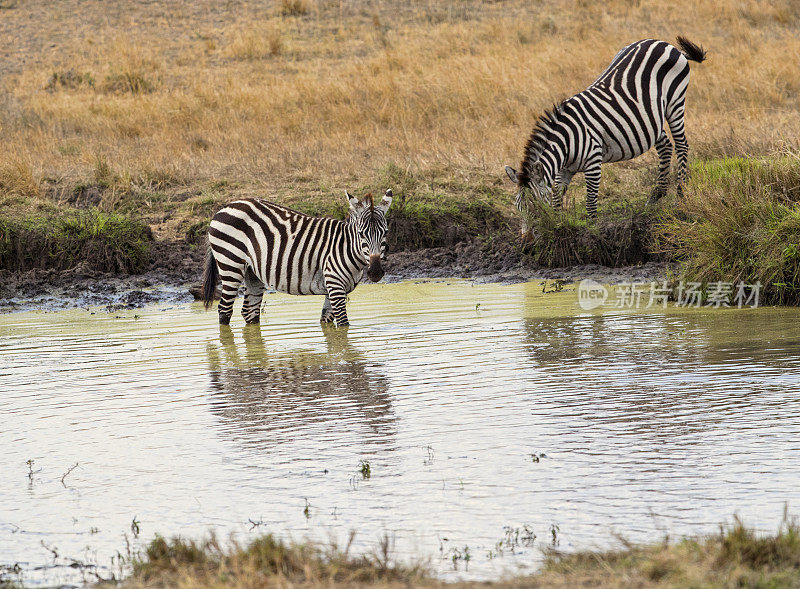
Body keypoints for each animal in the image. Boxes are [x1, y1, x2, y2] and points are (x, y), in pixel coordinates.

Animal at [203, 189, 394, 324]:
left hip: (251, 272)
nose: (375, 273)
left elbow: (327, 323)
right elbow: (344, 325)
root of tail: (225, 207)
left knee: (249, 311)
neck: (346, 248)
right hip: (230, 264)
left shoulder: (335, 290)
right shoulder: (335, 287)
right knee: (224, 310)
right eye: (361, 234)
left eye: (385, 232)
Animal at [506, 35, 708, 223]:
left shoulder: (593, 163)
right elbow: (556, 199)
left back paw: (680, 196)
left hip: (675, 101)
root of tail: (666, 44)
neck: (567, 142)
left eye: (534, 206)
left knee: (682, 145)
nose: (526, 238)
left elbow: (590, 203)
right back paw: (656, 195)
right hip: (650, 118)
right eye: (519, 208)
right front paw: (558, 225)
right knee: (665, 145)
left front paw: (591, 229)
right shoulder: (565, 170)